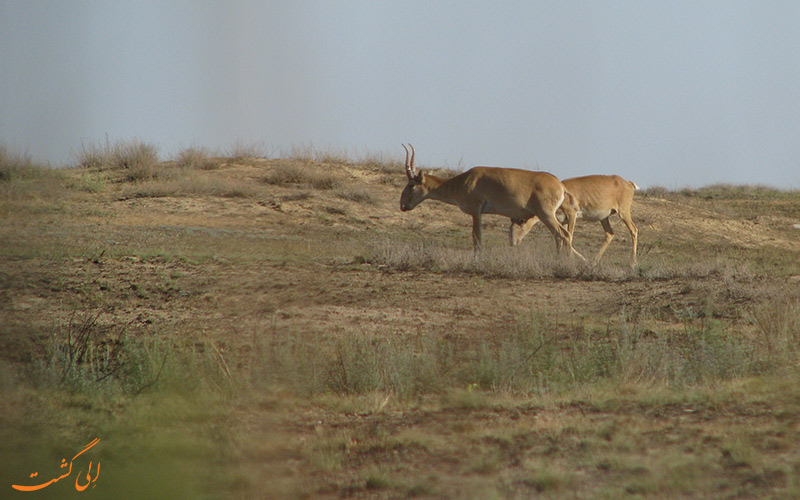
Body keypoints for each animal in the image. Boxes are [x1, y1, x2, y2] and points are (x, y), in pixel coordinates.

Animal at [398, 144, 580, 258]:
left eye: (411, 184)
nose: (403, 206)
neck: (465, 179)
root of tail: (560, 185)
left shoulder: (476, 211)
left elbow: (477, 237)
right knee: (559, 236)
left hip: (546, 214)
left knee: (563, 235)